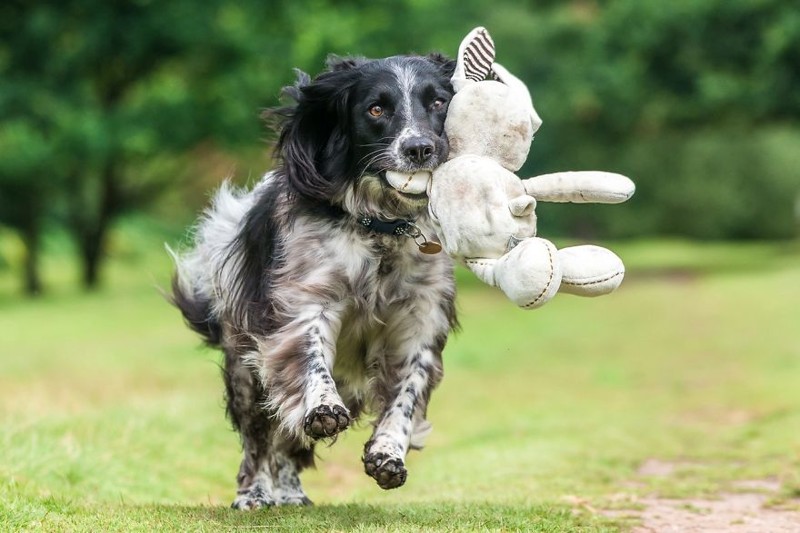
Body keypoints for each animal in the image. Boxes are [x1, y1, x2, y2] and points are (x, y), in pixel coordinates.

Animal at [172, 53, 460, 508]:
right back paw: (255, 493)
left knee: (286, 442)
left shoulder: (421, 319)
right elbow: (309, 359)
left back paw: (290, 492)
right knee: (260, 437)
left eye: (438, 102)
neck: (382, 231)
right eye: (375, 109)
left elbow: (406, 394)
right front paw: (322, 408)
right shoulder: (305, 299)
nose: (418, 148)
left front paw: (388, 454)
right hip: (245, 369)